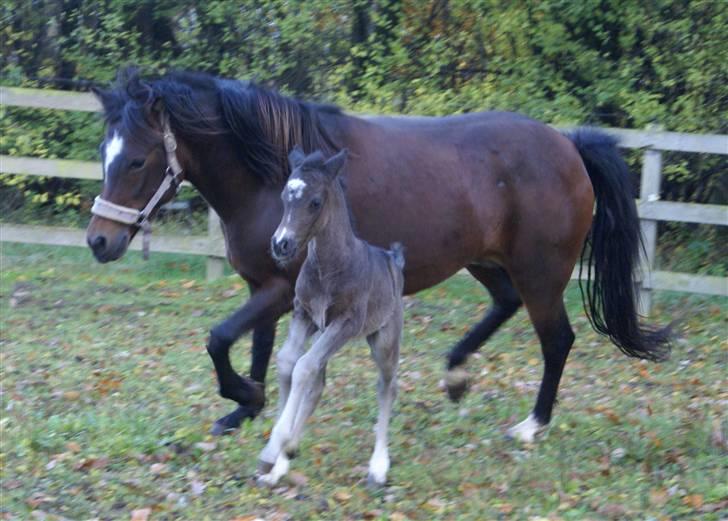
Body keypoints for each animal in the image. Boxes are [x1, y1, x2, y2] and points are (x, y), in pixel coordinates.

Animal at [86, 69, 672, 440]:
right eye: (103, 153)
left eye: (137, 160)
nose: (99, 241)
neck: (270, 176)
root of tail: (569, 146)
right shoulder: (266, 287)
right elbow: (256, 347)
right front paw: (247, 409)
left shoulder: (279, 289)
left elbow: (220, 338)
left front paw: (244, 399)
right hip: (483, 260)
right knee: (504, 304)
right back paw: (455, 375)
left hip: (541, 275)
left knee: (558, 341)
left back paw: (532, 426)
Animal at [256, 147, 406, 488]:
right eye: (284, 196)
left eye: (314, 202)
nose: (280, 244)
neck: (329, 268)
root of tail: (394, 259)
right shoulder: (304, 314)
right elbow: (288, 362)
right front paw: (277, 455)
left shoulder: (345, 324)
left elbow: (303, 367)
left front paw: (274, 448)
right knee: (317, 383)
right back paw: (288, 455)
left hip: (384, 338)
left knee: (387, 385)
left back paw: (379, 466)